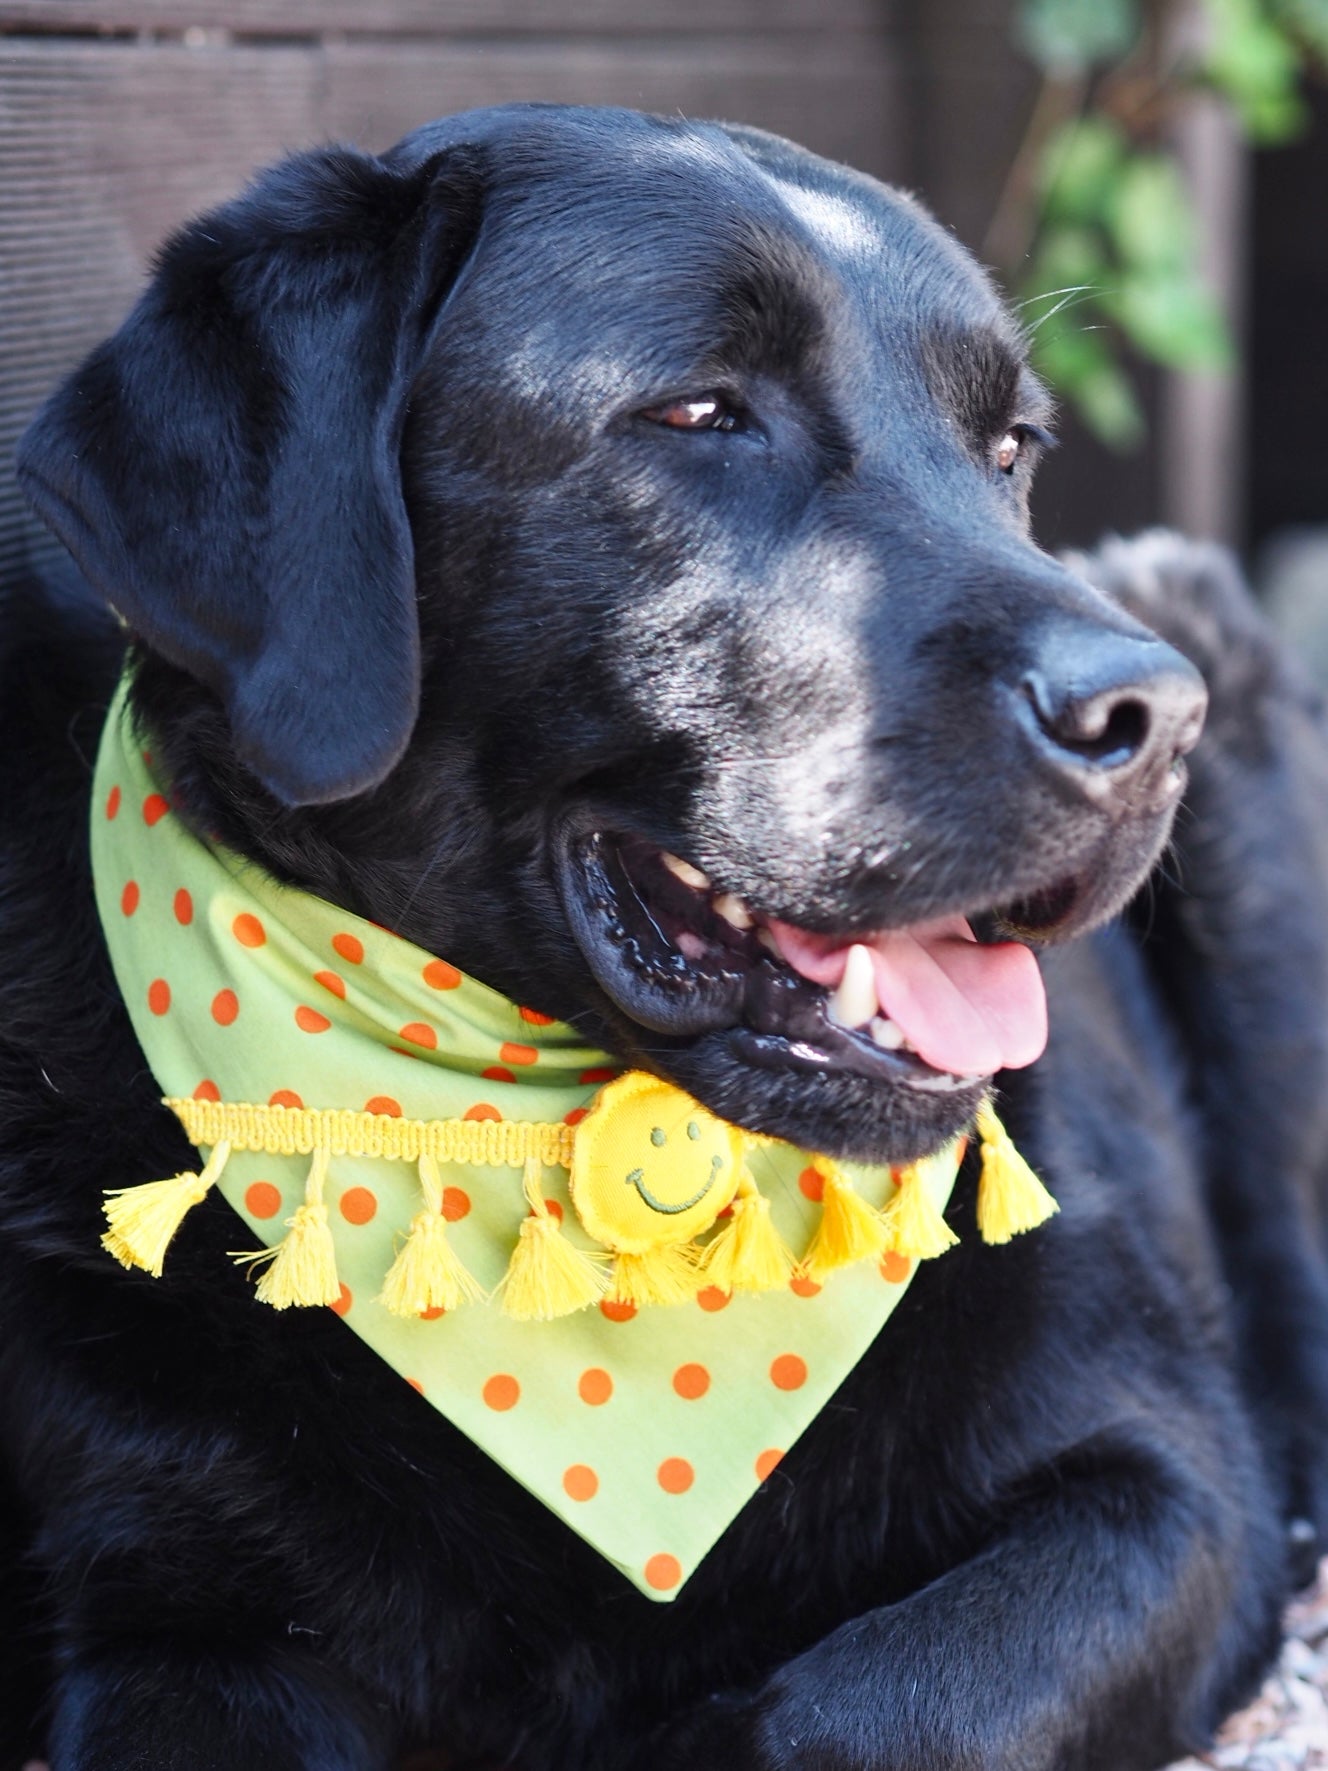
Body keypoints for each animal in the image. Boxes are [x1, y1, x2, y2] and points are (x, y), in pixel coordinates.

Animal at [2, 100, 1328, 1771]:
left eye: (1010, 448)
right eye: (702, 409)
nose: (1149, 716)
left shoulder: (1164, 1480)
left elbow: (856, 1709)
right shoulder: (172, 1609)